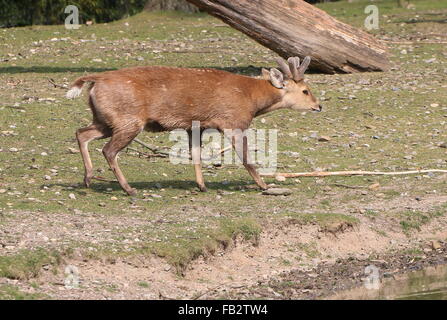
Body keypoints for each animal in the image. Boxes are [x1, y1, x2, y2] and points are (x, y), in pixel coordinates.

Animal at [66, 55, 322, 195]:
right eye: (305, 90)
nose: (318, 106)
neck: (252, 100)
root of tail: (95, 80)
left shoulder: (195, 126)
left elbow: (196, 155)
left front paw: (202, 185)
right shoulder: (234, 121)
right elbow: (246, 158)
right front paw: (264, 185)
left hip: (104, 120)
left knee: (81, 133)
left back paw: (88, 178)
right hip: (128, 120)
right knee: (108, 150)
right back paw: (129, 189)